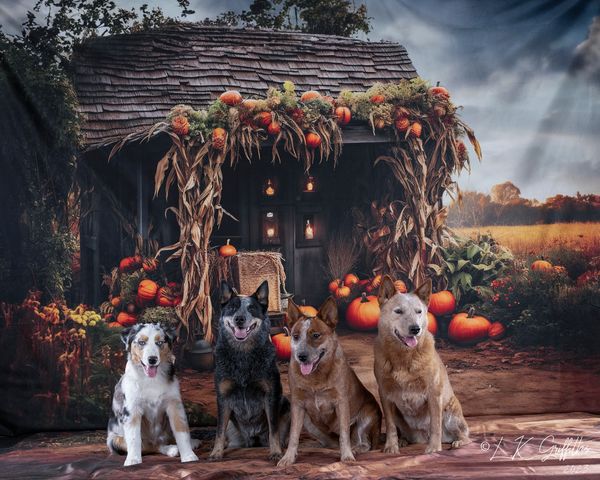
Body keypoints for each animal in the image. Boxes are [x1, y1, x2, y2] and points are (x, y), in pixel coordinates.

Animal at [210, 282, 290, 462]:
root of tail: (253, 438)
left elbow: (273, 428)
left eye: (252, 308)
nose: (239, 319)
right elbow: (218, 430)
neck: (243, 355)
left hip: (287, 404)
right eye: (232, 308)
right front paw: (216, 453)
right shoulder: (223, 397)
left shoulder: (270, 395)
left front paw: (276, 452)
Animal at [276, 296, 380, 464]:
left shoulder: (341, 403)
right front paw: (288, 457)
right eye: (295, 336)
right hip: (310, 424)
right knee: (329, 443)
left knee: (363, 442)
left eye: (316, 335)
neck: (316, 378)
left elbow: (344, 434)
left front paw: (347, 456)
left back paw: (355, 449)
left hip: (366, 417)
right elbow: (293, 436)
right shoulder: (297, 405)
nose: (301, 356)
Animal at [376, 276, 468, 456]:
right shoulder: (385, 393)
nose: (415, 329)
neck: (404, 357)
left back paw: (458, 442)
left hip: (451, 412)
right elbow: (390, 426)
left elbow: (435, 424)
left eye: (419, 312)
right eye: (398, 311)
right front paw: (391, 446)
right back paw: (403, 440)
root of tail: (421, 437)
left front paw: (434, 448)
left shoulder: (433, 392)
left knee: (464, 434)